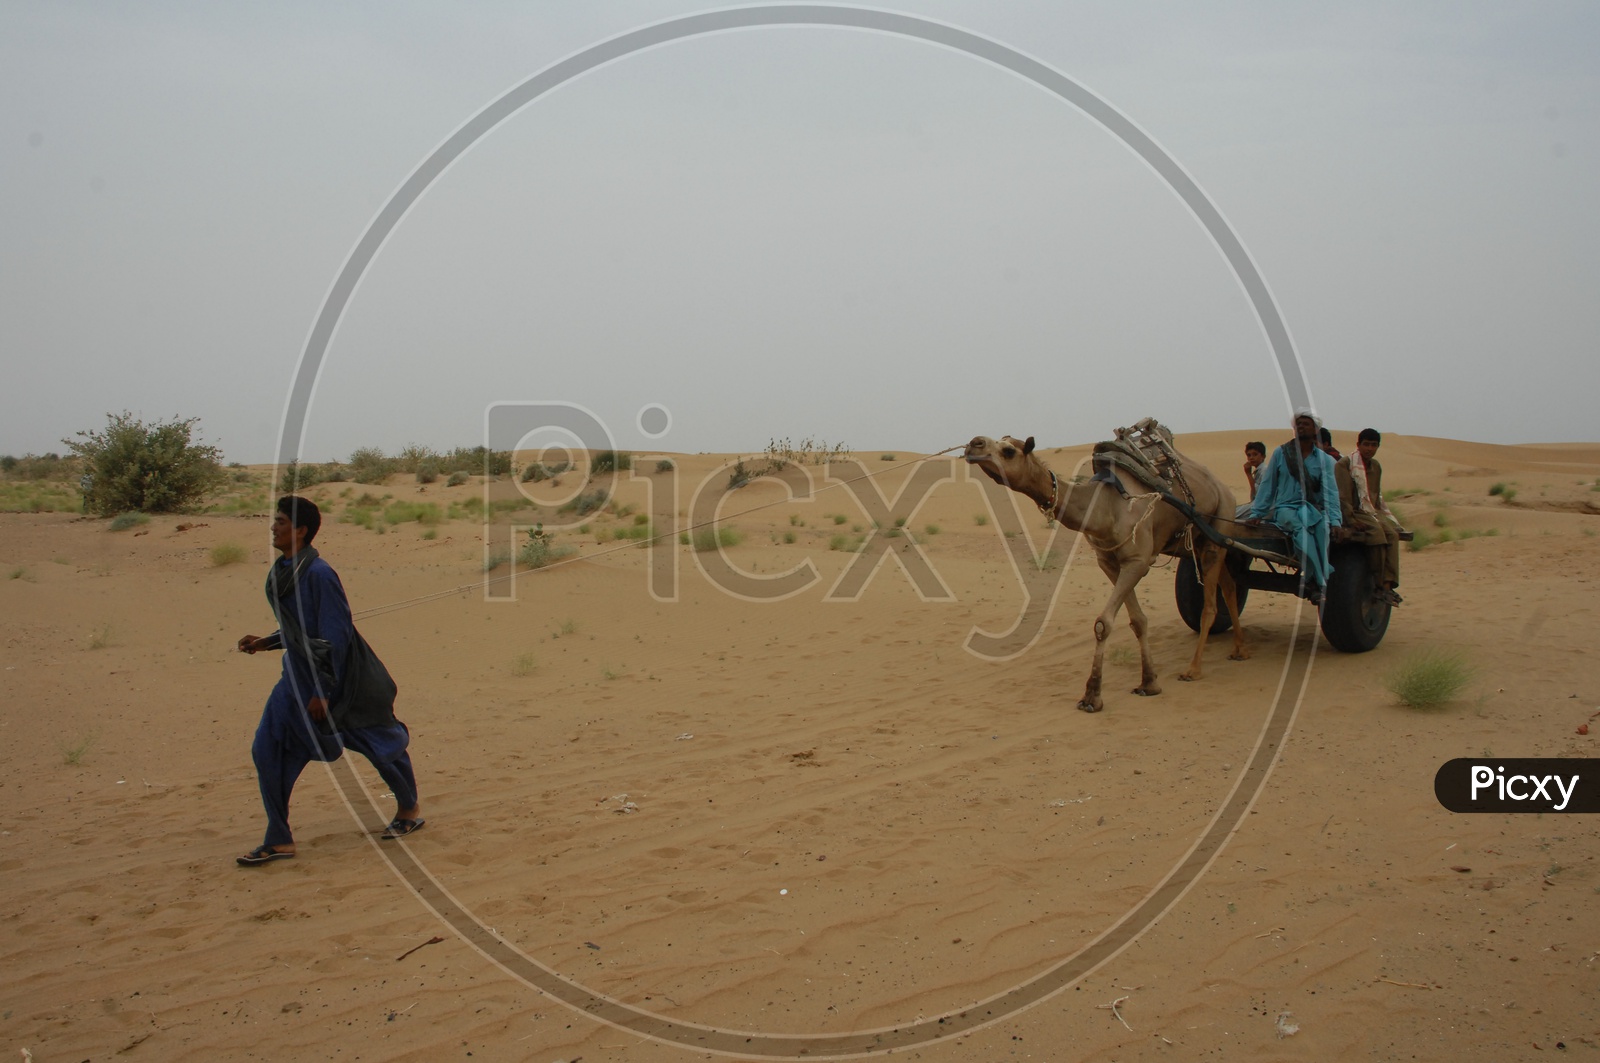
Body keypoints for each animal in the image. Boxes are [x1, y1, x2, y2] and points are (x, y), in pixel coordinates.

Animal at [960, 432, 1248, 714]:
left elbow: (1103, 623)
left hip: (1219, 525)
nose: (974, 444)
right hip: (1200, 542)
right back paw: (1239, 650)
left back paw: (1194, 669)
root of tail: (1222, 487)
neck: (1104, 506)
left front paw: (1092, 696)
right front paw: (1149, 682)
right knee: (1229, 586)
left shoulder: (1138, 560)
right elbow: (1138, 620)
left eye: (1009, 450)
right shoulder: (1109, 562)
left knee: (1210, 605)